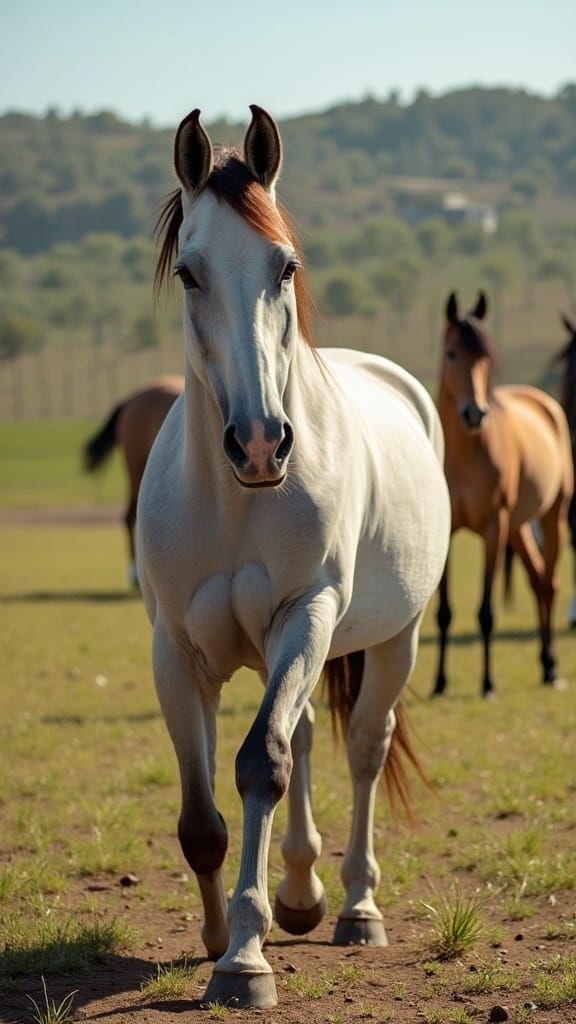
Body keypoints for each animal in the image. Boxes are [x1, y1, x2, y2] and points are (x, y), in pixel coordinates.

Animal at [136, 104, 450, 1009]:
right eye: (191, 274)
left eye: (285, 266)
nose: (258, 442)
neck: (236, 501)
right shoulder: (175, 648)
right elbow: (202, 814)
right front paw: (216, 936)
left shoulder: (306, 613)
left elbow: (261, 766)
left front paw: (245, 957)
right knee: (309, 733)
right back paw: (303, 892)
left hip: (392, 640)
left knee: (363, 748)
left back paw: (354, 907)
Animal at [433, 291, 573, 699]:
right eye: (451, 353)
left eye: (486, 357)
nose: (474, 414)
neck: (465, 454)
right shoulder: (448, 531)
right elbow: (444, 612)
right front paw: (440, 683)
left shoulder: (494, 527)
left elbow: (486, 611)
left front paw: (488, 684)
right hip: (519, 528)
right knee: (538, 581)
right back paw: (545, 664)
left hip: (551, 518)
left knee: (550, 584)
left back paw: (553, 668)